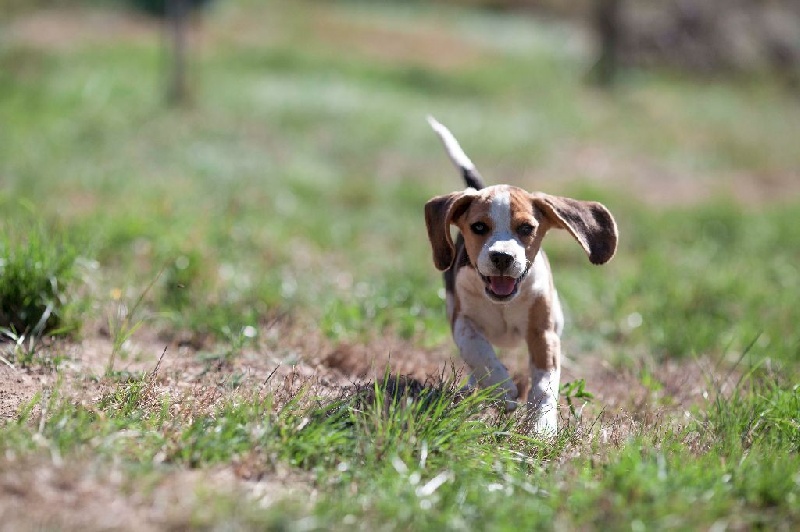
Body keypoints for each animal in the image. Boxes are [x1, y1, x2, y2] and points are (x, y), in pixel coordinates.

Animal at [424, 117, 620, 432]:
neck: (503, 302)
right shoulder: (461, 321)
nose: (502, 257)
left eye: (527, 228)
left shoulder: (543, 334)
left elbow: (543, 385)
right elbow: (478, 351)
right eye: (479, 227)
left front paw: (542, 428)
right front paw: (501, 388)